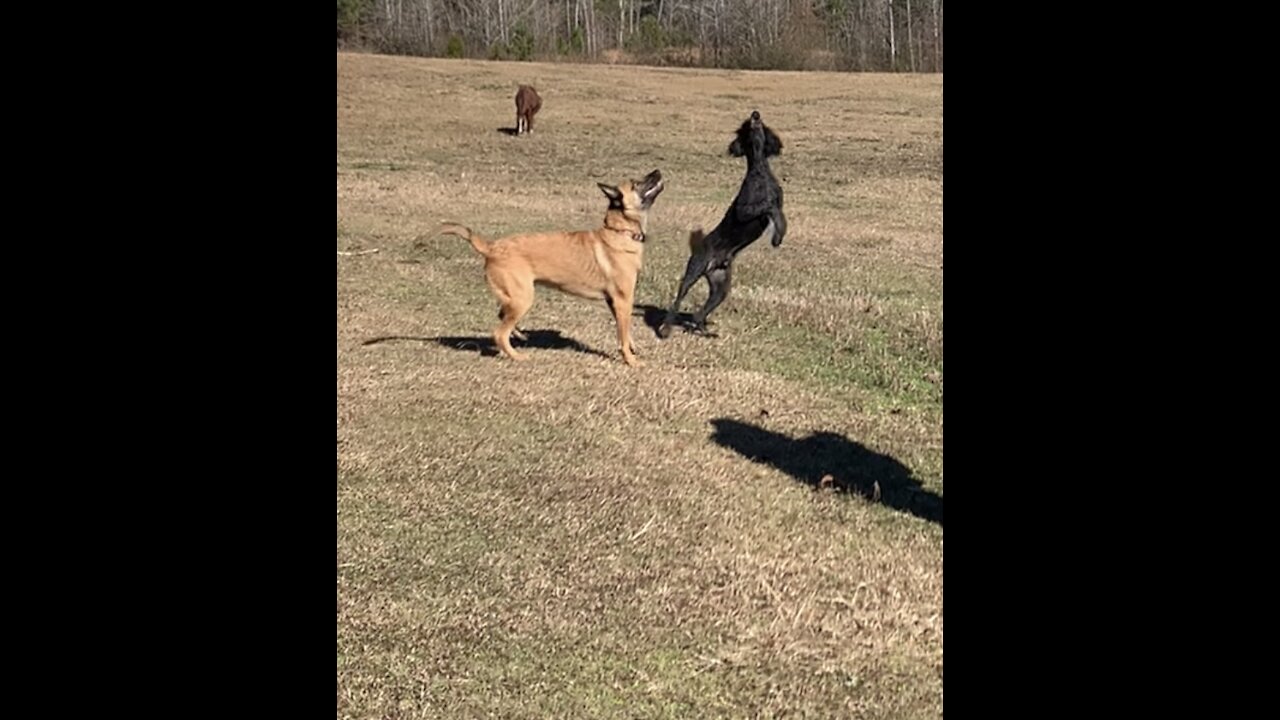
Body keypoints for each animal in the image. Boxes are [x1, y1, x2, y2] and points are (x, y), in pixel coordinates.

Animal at [440, 169, 665, 363]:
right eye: (636, 184)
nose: (657, 171)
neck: (621, 232)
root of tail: (491, 247)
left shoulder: (614, 302)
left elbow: (625, 332)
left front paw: (632, 349)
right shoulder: (623, 300)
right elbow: (623, 335)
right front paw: (631, 361)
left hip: (514, 298)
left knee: (502, 315)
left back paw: (519, 336)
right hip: (523, 298)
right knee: (499, 332)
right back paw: (517, 355)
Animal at [665, 110, 783, 338]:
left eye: (761, 124)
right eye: (745, 127)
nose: (755, 114)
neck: (760, 172)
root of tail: (714, 263)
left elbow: (778, 213)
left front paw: (779, 235)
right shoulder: (745, 210)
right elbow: (768, 206)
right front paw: (776, 235)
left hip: (721, 287)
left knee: (699, 315)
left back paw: (703, 331)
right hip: (694, 270)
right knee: (678, 299)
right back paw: (665, 327)